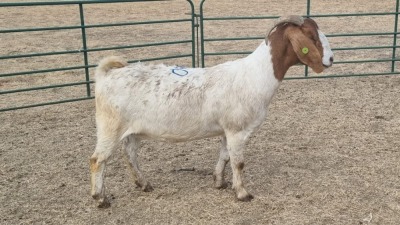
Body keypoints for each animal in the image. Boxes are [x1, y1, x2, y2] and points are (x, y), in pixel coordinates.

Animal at [89, 15, 332, 207]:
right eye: (310, 35)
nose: (330, 59)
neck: (255, 75)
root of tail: (106, 74)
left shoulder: (227, 130)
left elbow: (224, 156)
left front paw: (219, 182)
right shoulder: (237, 129)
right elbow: (238, 162)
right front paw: (242, 193)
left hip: (131, 131)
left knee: (130, 154)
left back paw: (144, 184)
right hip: (109, 126)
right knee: (98, 159)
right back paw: (100, 198)